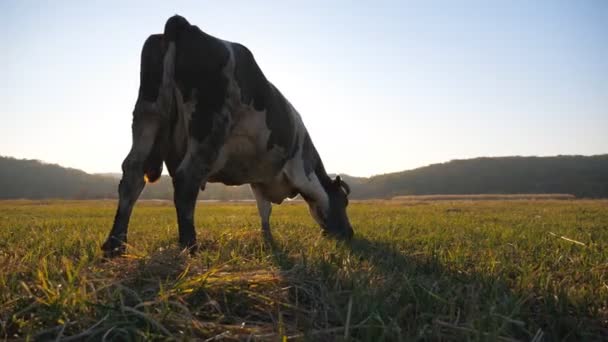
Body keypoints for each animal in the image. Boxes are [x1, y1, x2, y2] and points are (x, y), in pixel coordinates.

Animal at [102, 15, 354, 256]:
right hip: (209, 127)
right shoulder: (302, 170)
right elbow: (315, 199)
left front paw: (267, 239)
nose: (349, 233)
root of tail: (183, 24)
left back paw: (115, 245)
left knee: (132, 173)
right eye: (344, 201)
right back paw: (189, 245)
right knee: (186, 179)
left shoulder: (258, 178)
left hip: (147, 115)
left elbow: (264, 211)